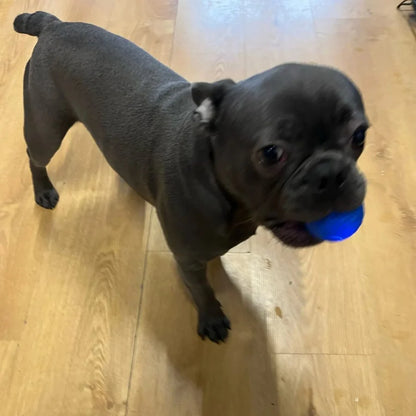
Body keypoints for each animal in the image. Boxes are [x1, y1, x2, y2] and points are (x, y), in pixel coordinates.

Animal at [13, 11, 368, 342]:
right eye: (271, 153)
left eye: (360, 135)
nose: (331, 173)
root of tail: (53, 25)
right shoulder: (187, 259)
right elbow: (201, 290)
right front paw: (211, 318)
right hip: (46, 127)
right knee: (35, 156)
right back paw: (43, 190)